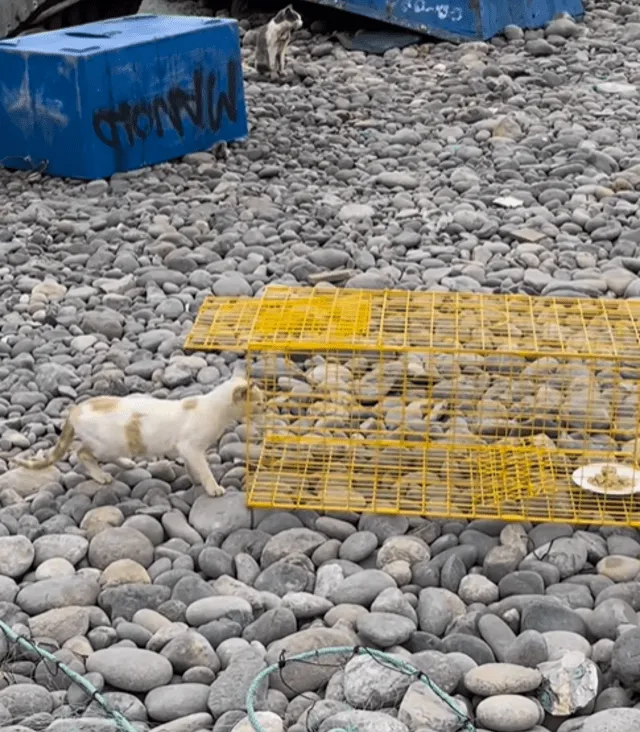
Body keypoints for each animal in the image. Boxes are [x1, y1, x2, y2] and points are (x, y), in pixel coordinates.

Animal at [13, 378, 262, 498]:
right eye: (258, 402)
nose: (267, 407)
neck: (214, 409)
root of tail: (76, 408)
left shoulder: (187, 451)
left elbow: (193, 467)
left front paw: (196, 480)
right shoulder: (191, 447)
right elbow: (204, 468)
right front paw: (213, 487)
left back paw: (126, 463)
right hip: (106, 445)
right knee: (80, 453)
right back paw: (101, 476)